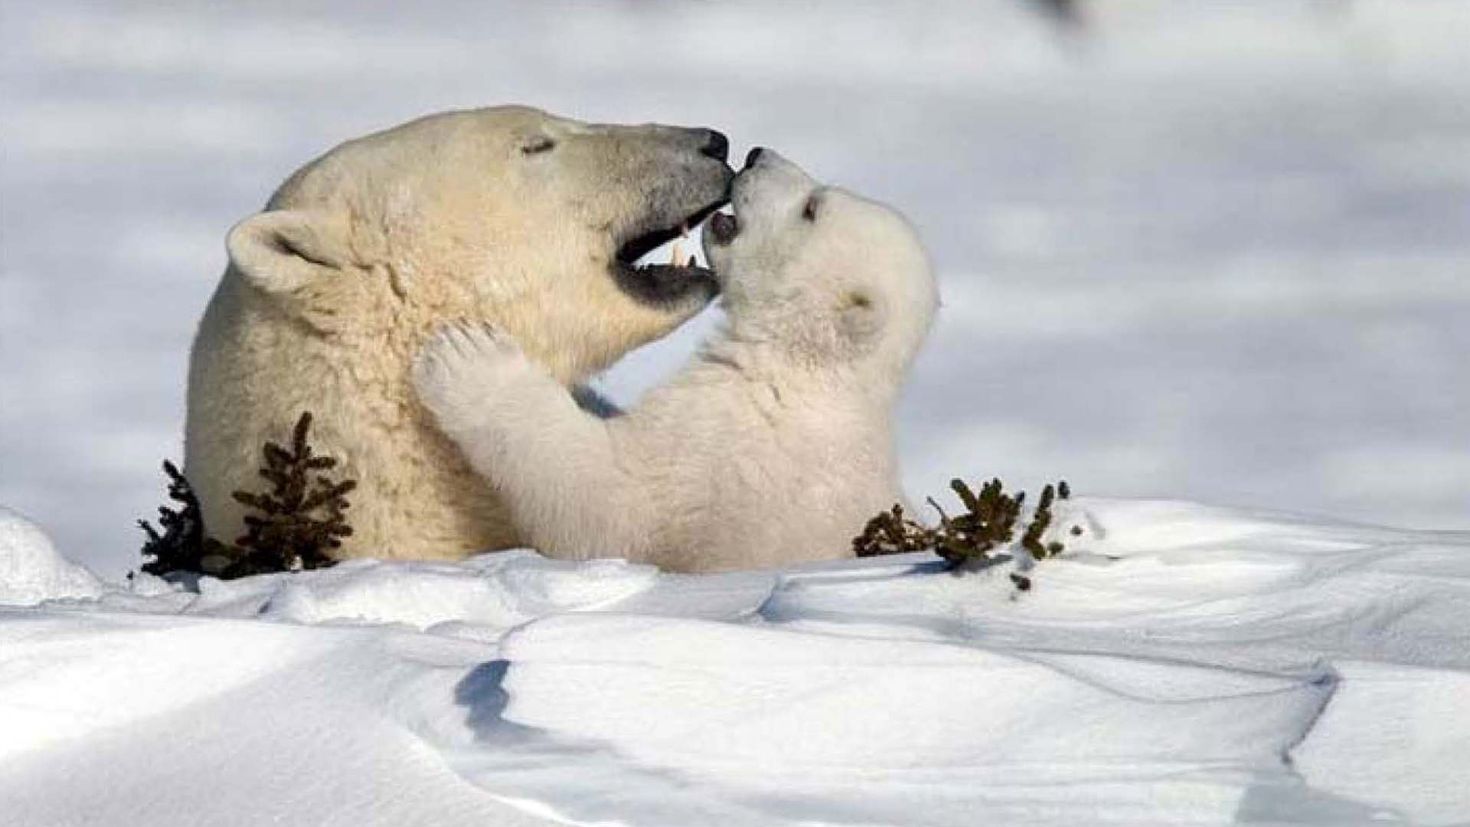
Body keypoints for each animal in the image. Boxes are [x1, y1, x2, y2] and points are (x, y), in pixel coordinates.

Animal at [420, 152, 934, 572]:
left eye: (812, 208)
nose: (755, 154)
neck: (800, 369)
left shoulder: (721, 446)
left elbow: (607, 503)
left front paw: (466, 356)